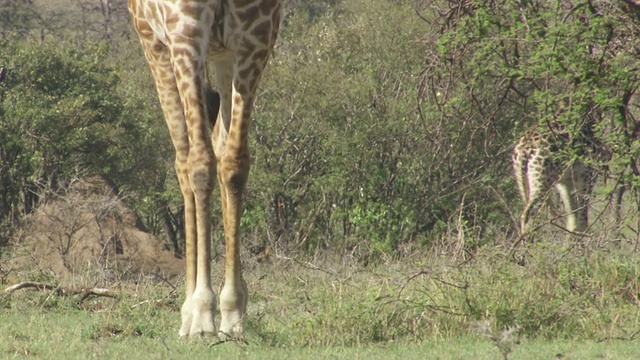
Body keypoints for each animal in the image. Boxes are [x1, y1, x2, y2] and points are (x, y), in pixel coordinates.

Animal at [127, 0, 280, 338]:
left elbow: (234, 164)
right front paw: (202, 312)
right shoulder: (186, 33)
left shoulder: (256, 37)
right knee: (185, 160)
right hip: (155, 45)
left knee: (219, 148)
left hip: (222, 57)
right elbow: (200, 164)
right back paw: (188, 313)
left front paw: (233, 312)